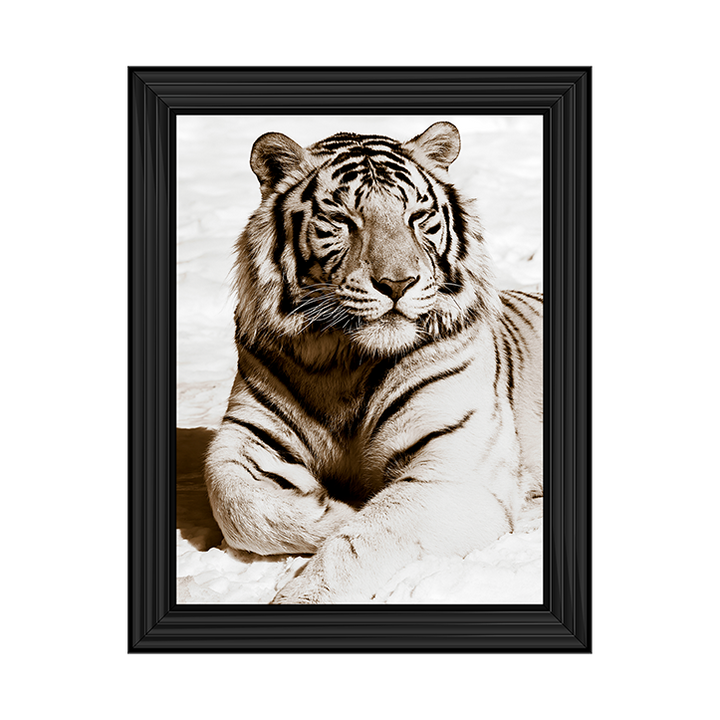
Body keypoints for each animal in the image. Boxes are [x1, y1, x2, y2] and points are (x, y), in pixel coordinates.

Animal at [204, 121, 543, 604]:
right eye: (343, 221)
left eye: (417, 217)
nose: (398, 283)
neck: (344, 360)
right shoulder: (246, 435)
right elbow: (235, 504)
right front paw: (336, 508)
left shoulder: (454, 471)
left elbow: (367, 538)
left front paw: (306, 589)